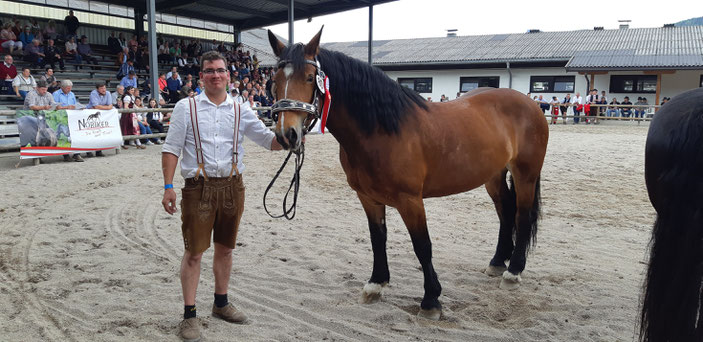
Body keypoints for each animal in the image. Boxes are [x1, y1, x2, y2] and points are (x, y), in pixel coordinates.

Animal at [270, 28, 552, 320]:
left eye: (309, 77)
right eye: (274, 79)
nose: (287, 134)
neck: (382, 129)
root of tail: (530, 103)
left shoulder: (410, 200)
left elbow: (422, 245)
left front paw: (431, 300)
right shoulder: (368, 198)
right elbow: (377, 238)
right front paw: (376, 284)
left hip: (526, 175)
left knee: (521, 215)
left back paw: (513, 271)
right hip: (493, 176)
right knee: (505, 212)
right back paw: (497, 262)